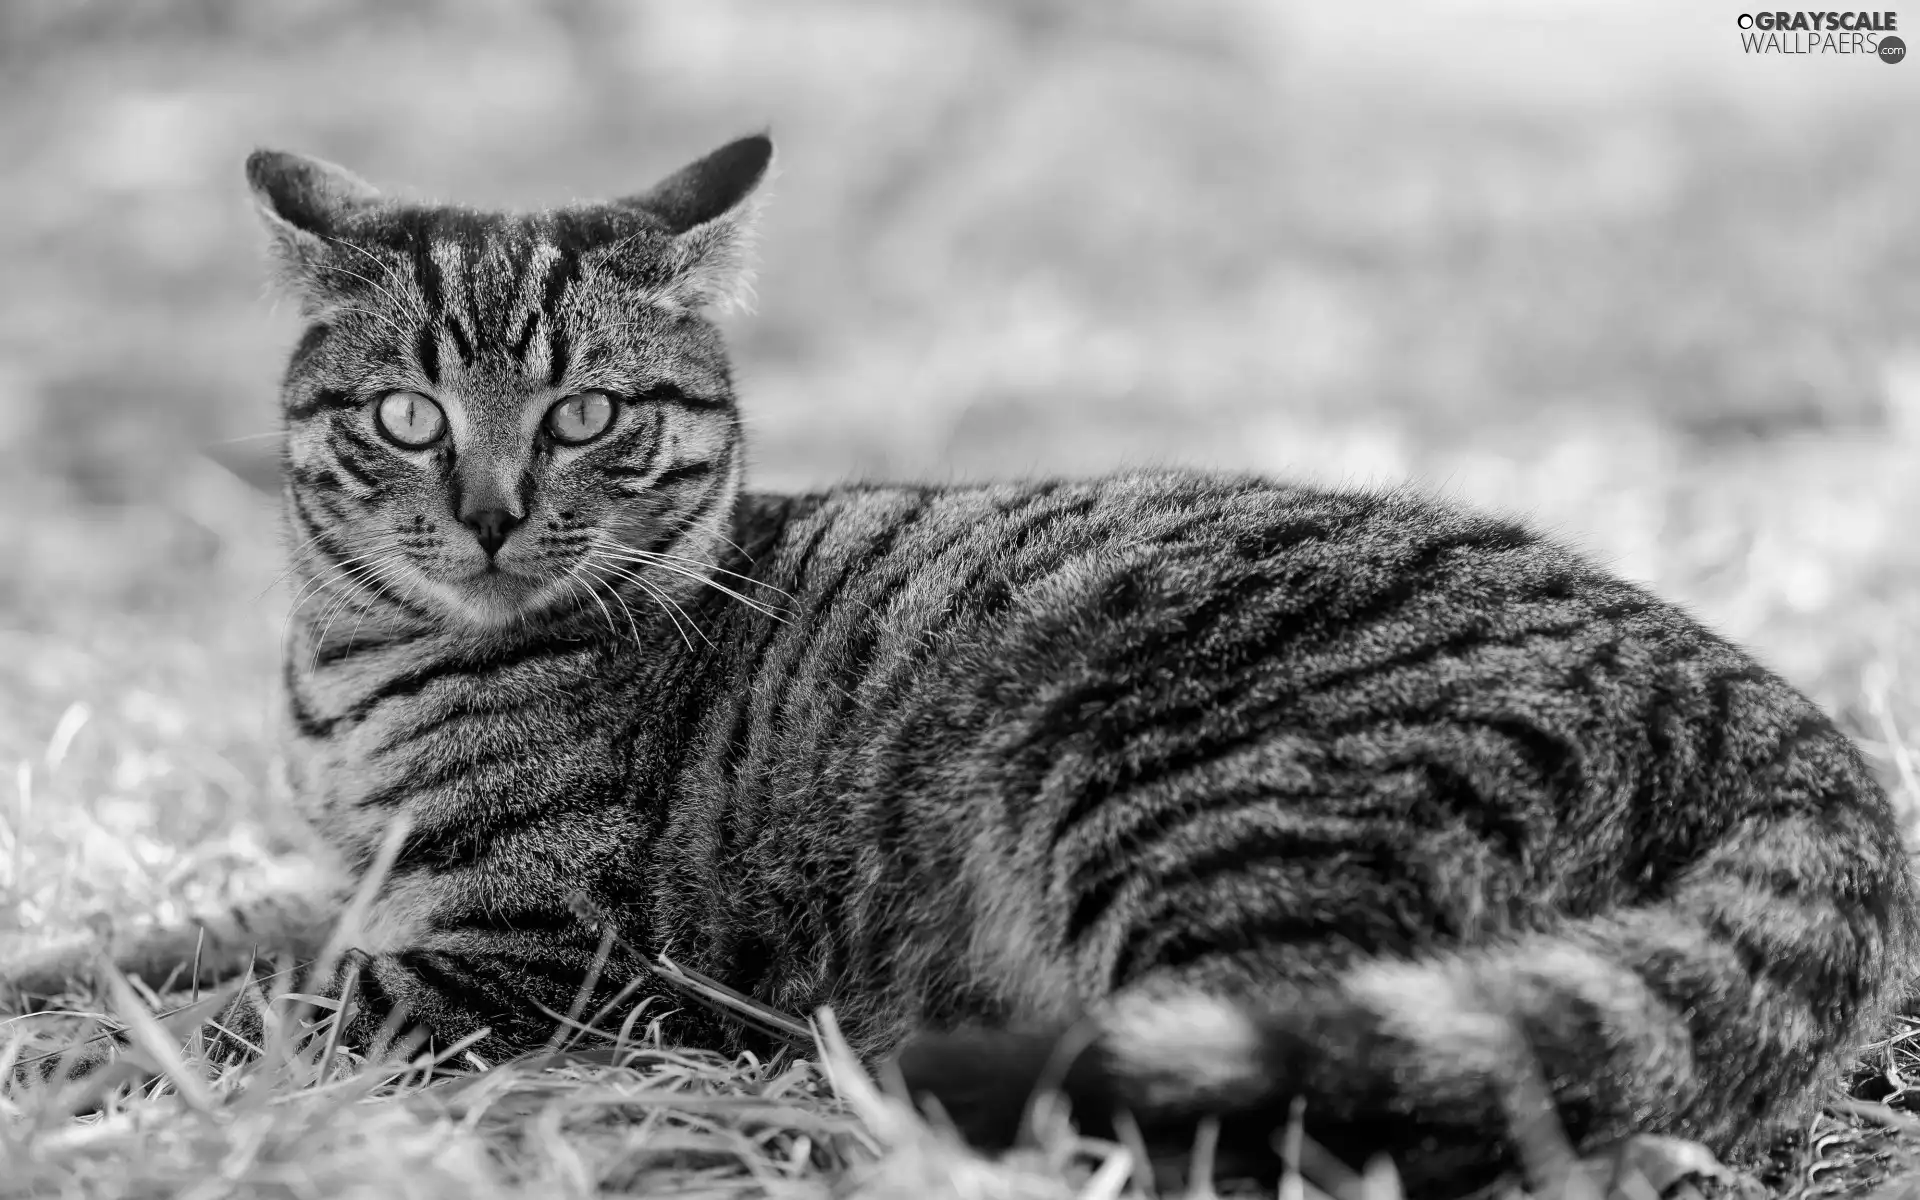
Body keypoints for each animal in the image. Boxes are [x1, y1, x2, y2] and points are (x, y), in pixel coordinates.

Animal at [3, 128, 1920, 1190]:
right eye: (408, 415)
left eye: (588, 415)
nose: (484, 512)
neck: (355, 669)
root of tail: (1762, 696)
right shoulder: (346, 887)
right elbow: (159, 950)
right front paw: (66, 966)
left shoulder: (508, 952)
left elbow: (232, 1012)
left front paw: (71, 1072)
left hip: (1193, 814)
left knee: (1323, 1095)